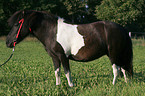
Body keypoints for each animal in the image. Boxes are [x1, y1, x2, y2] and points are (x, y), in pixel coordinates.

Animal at [5, 10, 133, 86]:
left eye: (17, 24)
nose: (8, 42)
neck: (53, 32)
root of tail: (122, 28)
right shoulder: (54, 57)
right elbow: (57, 72)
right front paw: (58, 86)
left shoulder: (63, 56)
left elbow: (67, 72)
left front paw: (71, 86)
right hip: (119, 55)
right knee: (123, 69)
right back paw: (127, 83)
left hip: (113, 55)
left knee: (116, 70)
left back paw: (113, 85)